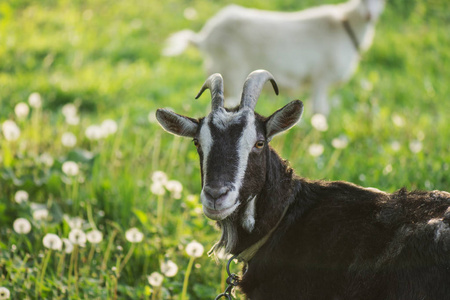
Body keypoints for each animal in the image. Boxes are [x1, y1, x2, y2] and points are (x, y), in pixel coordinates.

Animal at [163, 0, 384, 115]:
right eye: (362, 1)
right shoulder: (321, 78)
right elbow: (320, 110)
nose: (369, 16)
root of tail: (205, 37)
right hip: (231, 70)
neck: (344, 26)